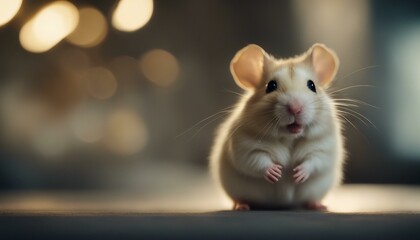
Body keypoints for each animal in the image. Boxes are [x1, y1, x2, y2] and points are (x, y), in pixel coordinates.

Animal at [209, 43, 344, 210]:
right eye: (271, 86)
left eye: (312, 85)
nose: (295, 108)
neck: (289, 137)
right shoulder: (245, 147)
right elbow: (257, 160)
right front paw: (276, 172)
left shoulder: (324, 148)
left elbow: (314, 161)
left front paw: (298, 174)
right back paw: (241, 206)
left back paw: (318, 205)